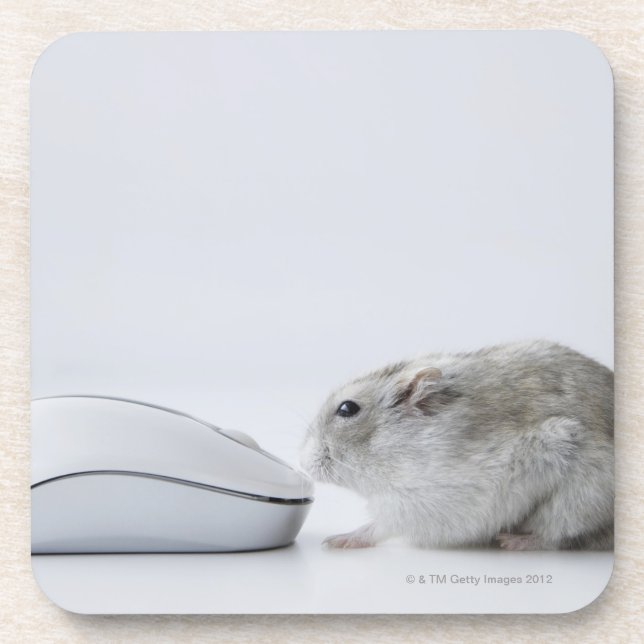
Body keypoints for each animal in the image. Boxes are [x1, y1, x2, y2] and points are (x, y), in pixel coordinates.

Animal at [300, 340, 614, 551]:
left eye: (347, 408)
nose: (303, 463)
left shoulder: (420, 503)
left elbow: (379, 526)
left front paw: (335, 541)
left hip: (578, 495)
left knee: (558, 535)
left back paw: (512, 541)